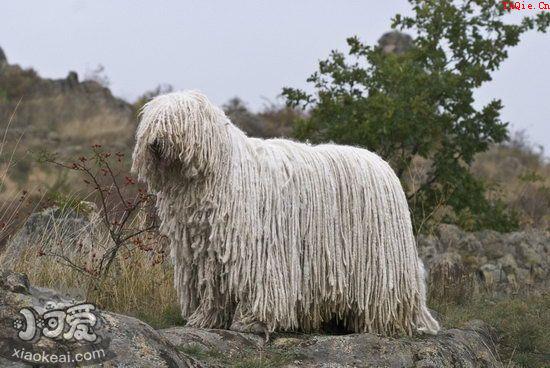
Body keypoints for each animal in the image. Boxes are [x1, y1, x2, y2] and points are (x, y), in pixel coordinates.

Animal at [132, 91, 442, 336]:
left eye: (176, 120)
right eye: (152, 122)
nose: (156, 142)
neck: (221, 171)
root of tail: (381, 164)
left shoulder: (258, 248)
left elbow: (261, 285)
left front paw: (254, 322)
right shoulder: (206, 252)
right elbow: (213, 290)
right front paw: (205, 319)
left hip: (380, 257)